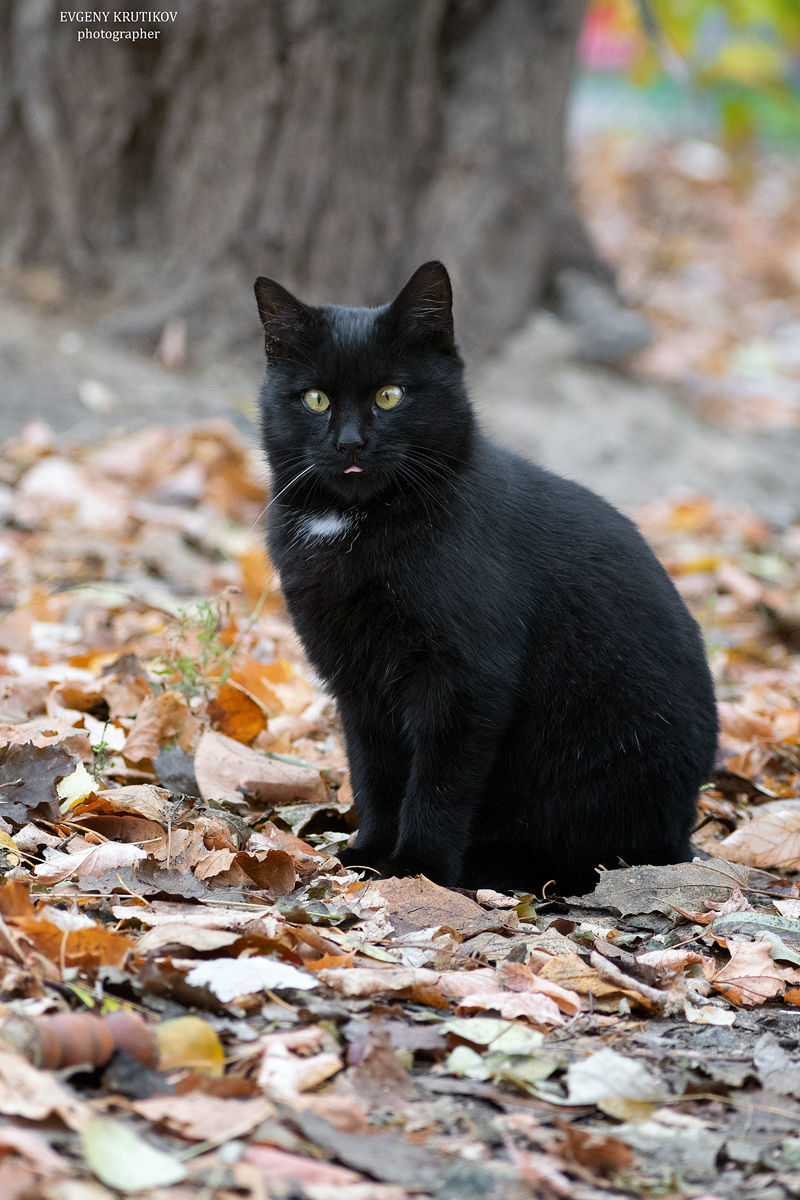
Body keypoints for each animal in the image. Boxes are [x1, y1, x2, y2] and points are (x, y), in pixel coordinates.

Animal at [253, 265, 714, 902]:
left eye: (390, 395)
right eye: (315, 399)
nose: (349, 443)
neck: (360, 523)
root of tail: (683, 829)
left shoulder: (469, 679)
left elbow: (438, 785)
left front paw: (416, 869)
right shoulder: (358, 678)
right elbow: (375, 772)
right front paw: (369, 855)